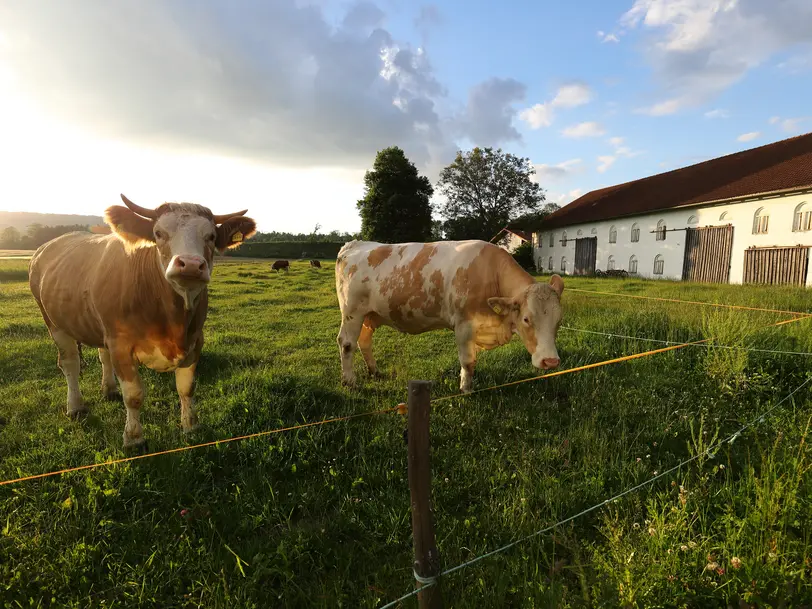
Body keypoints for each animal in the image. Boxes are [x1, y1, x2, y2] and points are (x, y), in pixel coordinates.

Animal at [29, 196, 256, 452]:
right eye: (158, 233)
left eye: (211, 236)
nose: (189, 264)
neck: (172, 320)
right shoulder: (120, 343)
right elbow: (134, 395)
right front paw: (134, 439)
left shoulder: (196, 339)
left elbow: (187, 387)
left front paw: (191, 426)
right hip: (53, 321)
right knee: (70, 364)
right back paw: (76, 407)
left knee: (102, 356)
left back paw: (109, 389)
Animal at [336, 240, 564, 392]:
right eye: (526, 319)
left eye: (559, 321)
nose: (551, 361)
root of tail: (354, 243)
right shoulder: (464, 324)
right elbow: (468, 361)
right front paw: (466, 390)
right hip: (352, 312)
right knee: (346, 343)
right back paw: (349, 381)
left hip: (370, 315)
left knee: (364, 341)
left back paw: (374, 371)